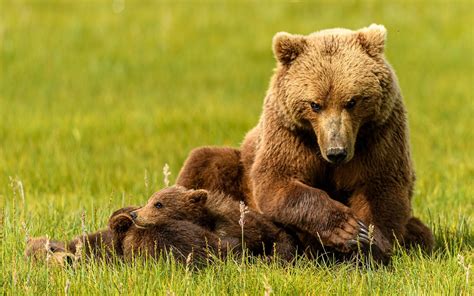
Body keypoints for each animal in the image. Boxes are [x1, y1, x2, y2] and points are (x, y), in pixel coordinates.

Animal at [177, 24, 434, 262]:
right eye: (315, 104)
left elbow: (381, 187)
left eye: (352, 101)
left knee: (421, 232)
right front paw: (346, 227)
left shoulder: (380, 133)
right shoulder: (289, 133)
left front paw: (368, 243)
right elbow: (277, 180)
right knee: (206, 162)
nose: (336, 151)